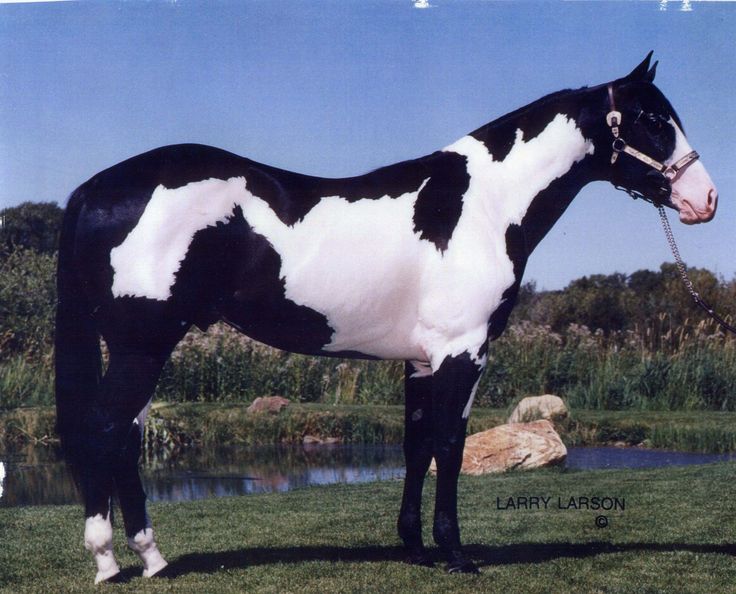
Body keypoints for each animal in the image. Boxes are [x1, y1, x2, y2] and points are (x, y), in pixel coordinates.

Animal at [54, 53, 716, 580]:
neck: (482, 205)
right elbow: (449, 444)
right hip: (142, 346)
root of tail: (94, 189)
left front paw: (415, 549)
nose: (704, 200)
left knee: (126, 438)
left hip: (143, 349)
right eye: (653, 120)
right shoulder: (462, 352)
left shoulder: (421, 360)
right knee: (105, 431)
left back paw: (153, 560)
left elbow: (416, 445)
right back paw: (110, 563)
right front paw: (456, 555)